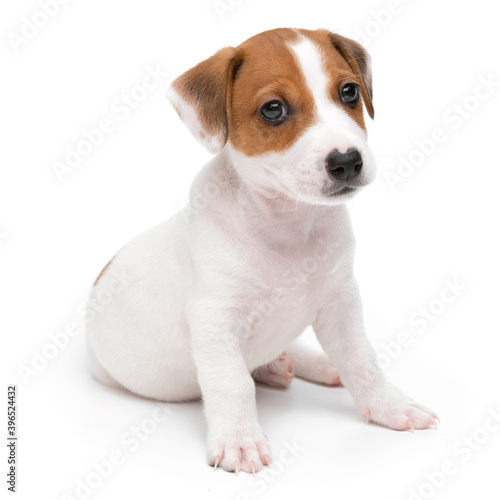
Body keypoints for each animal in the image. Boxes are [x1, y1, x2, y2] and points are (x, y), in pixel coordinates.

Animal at [86, 27, 438, 472]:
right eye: (273, 109)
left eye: (349, 92)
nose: (347, 161)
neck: (289, 226)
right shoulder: (215, 322)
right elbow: (233, 383)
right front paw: (240, 440)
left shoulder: (341, 303)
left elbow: (362, 360)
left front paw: (390, 405)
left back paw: (309, 364)